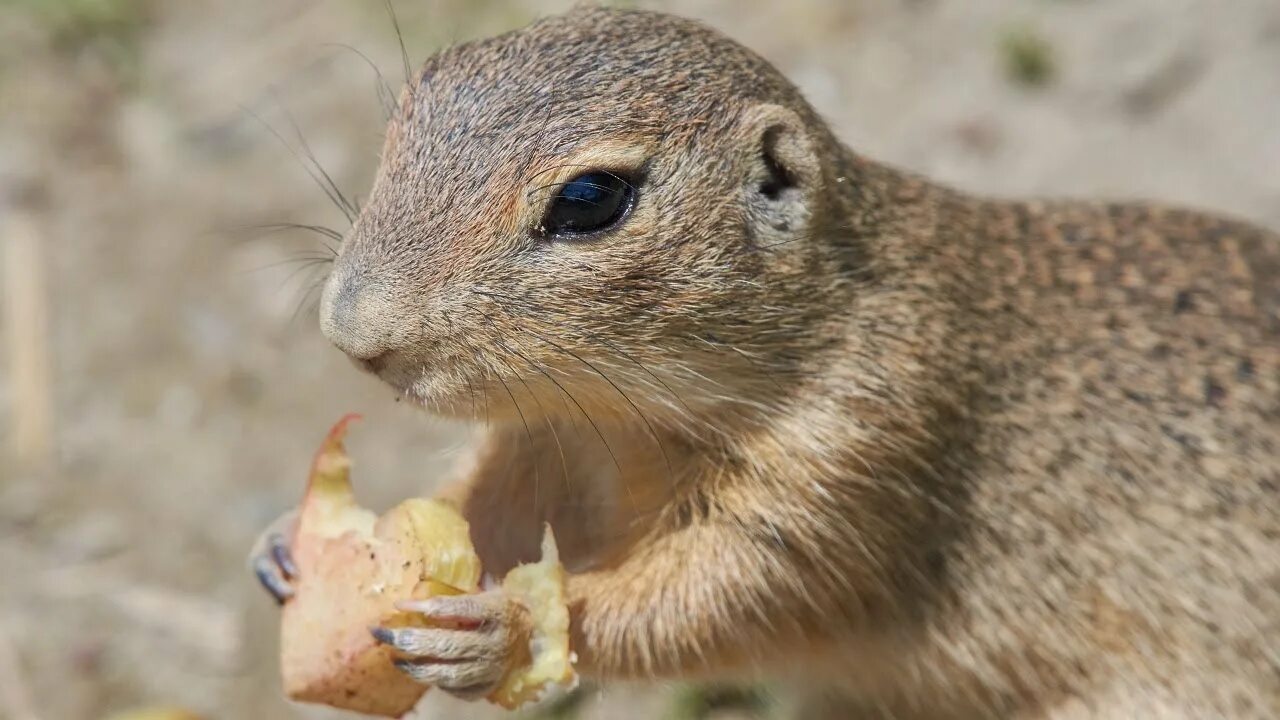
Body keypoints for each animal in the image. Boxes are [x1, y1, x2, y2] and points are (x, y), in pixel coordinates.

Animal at [254, 7, 1274, 717]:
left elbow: (717, 597)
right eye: (411, 103)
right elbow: (488, 508)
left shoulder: (857, 457)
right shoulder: (549, 437)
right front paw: (289, 545)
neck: (631, 416)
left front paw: (507, 630)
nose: (353, 334)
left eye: (590, 198)